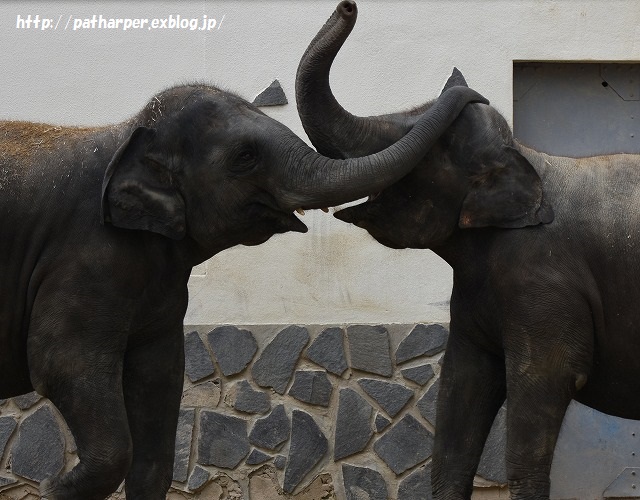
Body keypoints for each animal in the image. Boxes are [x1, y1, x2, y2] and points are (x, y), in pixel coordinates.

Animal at [0, 80, 484, 498]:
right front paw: (53, 488)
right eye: (245, 156)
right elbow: (59, 365)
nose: (472, 93)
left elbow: (159, 381)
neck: (128, 133)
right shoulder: (83, 259)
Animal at [298, 1, 640, 498]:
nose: (348, 6)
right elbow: (460, 397)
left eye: (419, 150)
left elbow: (541, 392)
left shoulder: (545, 292)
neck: (527, 157)